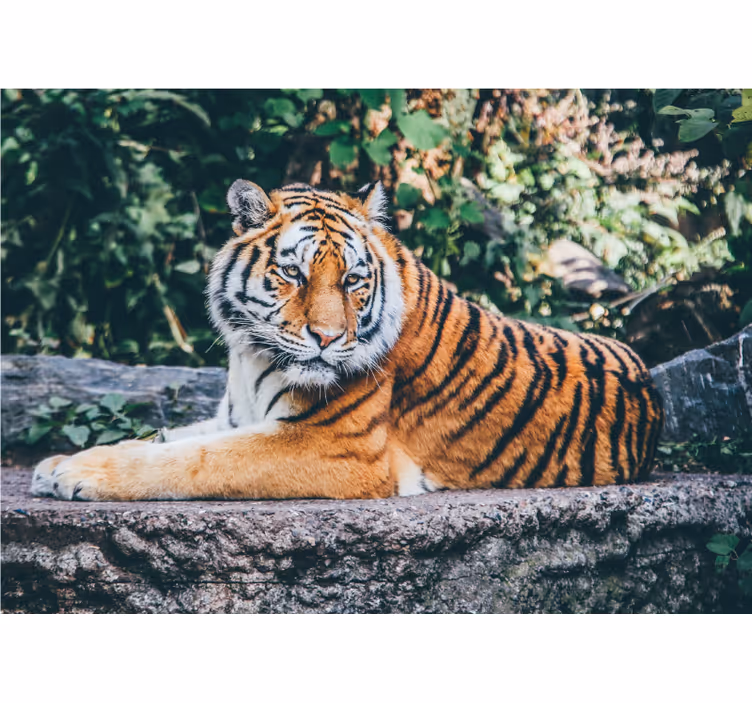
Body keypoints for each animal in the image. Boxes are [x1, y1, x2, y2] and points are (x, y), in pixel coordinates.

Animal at [31, 180, 664, 501]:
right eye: (294, 274)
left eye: (354, 281)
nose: (328, 338)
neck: (250, 356)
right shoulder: (234, 417)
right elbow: (162, 439)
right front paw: (60, 462)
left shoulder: (332, 446)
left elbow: (193, 461)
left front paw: (78, 475)